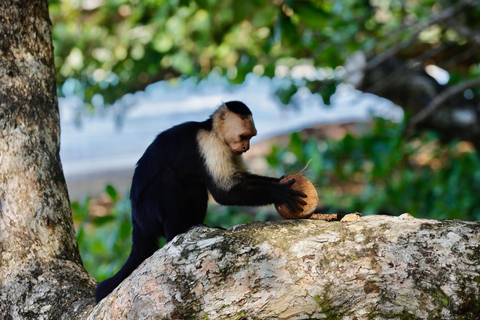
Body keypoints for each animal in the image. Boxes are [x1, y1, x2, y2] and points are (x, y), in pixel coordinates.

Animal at [95, 100, 306, 302]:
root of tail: (136, 223)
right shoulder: (211, 144)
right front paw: (281, 192)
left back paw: (197, 225)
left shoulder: (229, 149)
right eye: (243, 136)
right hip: (146, 213)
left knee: (195, 183)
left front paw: (282, 180)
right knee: (167, 177)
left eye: (251, 137)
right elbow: (224, 192)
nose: (247, 148)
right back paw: (176, 233)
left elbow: (240, 179)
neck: (212, 130)